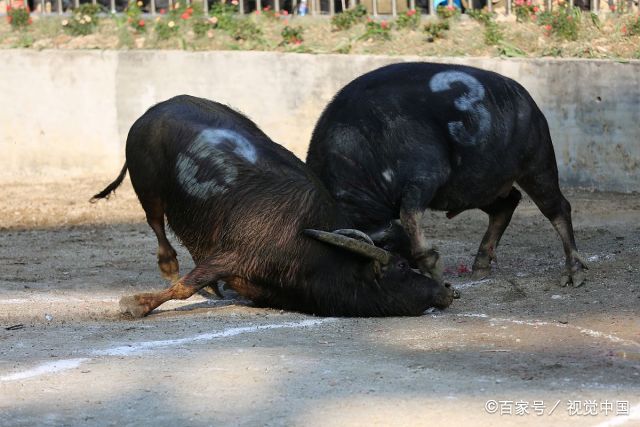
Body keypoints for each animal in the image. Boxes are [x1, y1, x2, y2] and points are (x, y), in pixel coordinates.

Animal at [92, 96, 458, 318]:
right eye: (401, 267)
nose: (446, 290)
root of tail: (154, 110)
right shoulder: (228, 255)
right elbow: (184, 287)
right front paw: (136, 303)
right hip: (148, 189)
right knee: (157, 225)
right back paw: (168, 265)